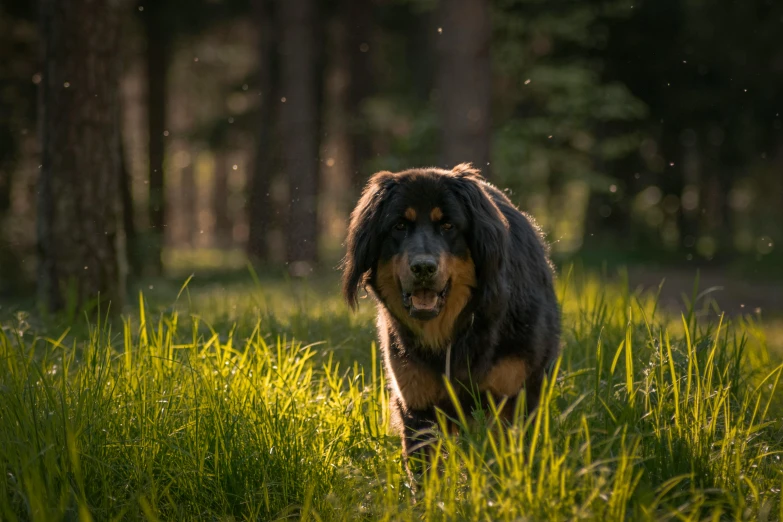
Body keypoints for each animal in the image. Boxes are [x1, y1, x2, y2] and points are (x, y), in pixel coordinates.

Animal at [340, 162, 560, 476]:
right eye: (399, 226)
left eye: (448, 226)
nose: (423, 267)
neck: (455, 333)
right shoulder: (417, 403)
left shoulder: (511, 398)